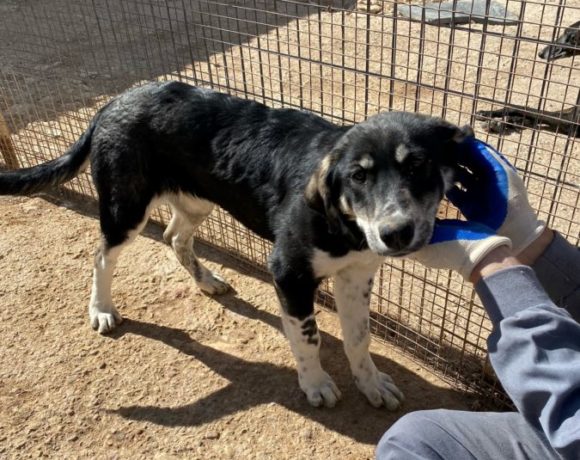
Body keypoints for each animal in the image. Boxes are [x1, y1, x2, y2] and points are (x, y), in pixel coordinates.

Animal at [0, 82, 468, 410]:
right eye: (358, 176)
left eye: (418, 166)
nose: (396, 233)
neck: (339, 218)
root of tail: (112, 103)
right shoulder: (289, 273)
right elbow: (310, 338)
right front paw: (316, 384)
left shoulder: (356, 275)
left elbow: (359, 338)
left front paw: (371, 384)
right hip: (124, 209)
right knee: (101, 256)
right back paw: (101, 309)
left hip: (195, 202)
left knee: (174, 237)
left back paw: (207, 281)